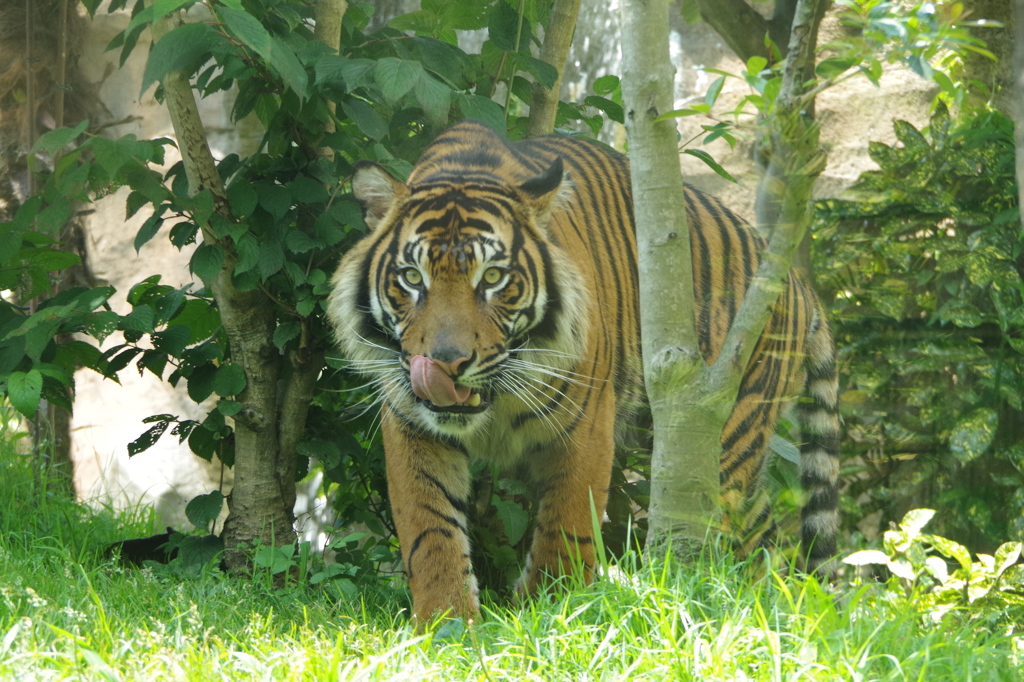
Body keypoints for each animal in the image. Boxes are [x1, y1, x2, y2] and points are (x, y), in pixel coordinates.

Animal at [327, 118, 839, 622]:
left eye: (492, 278)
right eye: (413, 278)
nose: (446, 363)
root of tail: (795, 281)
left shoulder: (586, 421)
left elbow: (567, 525)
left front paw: (552, 614)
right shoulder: (411, 422)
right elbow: (428, 527)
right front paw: (446, 622)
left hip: (718, 430)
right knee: (762, 535)